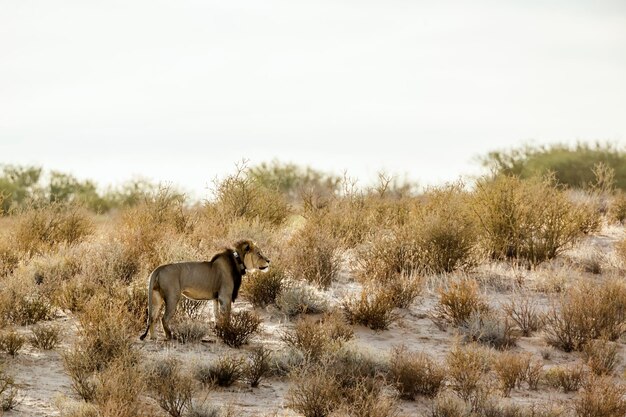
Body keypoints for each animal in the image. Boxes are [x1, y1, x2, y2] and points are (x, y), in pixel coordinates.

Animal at [139, 239, 268, 340]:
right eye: (259, 253)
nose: (269, 261)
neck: (238, 261)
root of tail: (159, 268)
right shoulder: (225, 296)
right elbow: (226, 317)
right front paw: (228, 332)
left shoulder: (216, 298)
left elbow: (217, 316)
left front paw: (219, 331)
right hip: (172, 297)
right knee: (163, 318)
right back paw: (170, 336)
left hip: (156, 297)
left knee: (151, 317)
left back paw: (153, 337)